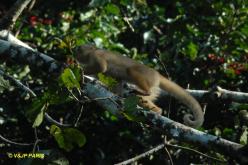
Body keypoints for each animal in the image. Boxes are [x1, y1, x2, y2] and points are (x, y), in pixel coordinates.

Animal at [75, 44, 203, 127]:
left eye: (79, 48)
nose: (75, 50)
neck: (91, 53)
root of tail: (157, 74)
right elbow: (117, 83)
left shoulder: (96, 55)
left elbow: (101, 67)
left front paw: (77, 68)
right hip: (153, 84)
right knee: (141, 98)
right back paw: (157, 111)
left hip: (148, 76)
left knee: (131, 71)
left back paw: (145, 92)